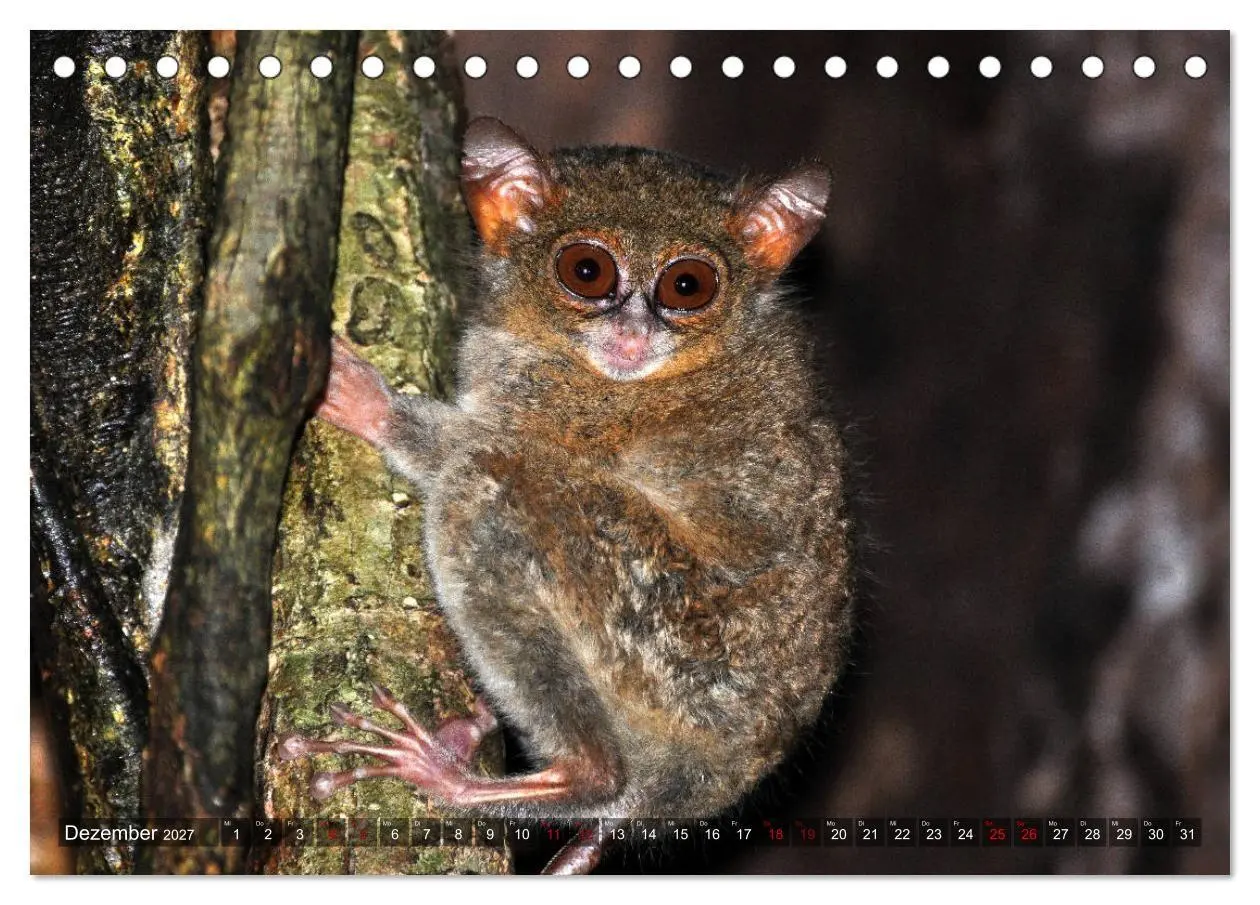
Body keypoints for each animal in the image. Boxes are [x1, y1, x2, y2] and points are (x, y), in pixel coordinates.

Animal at [278, 117, 856, 874]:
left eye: (688, 285)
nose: (633, 332)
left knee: (490, 481)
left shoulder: (570, 408)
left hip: (674, 639)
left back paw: (468, 772)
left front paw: (366, 402)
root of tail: (713, 782)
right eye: (588, 273)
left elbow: (467, 446)